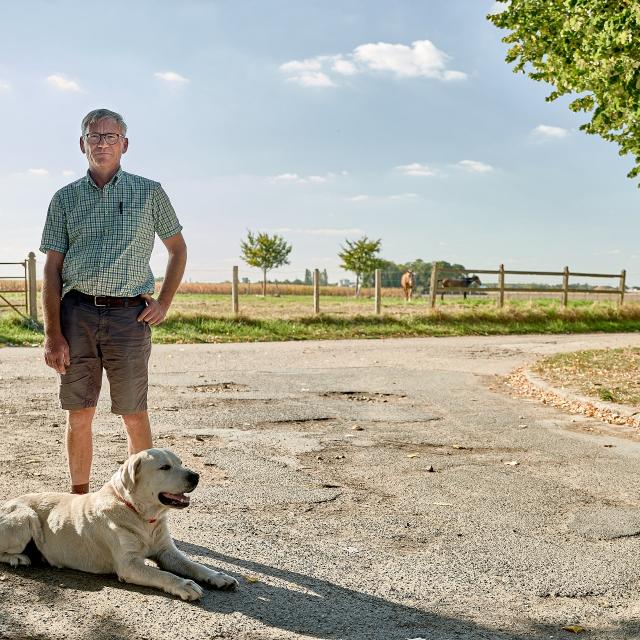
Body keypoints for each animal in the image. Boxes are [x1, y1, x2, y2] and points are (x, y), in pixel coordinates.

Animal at [0, 450, 238, 600]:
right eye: (164, 467)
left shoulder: (167, 552)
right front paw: (184, 585)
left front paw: (218, 576)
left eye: (180, 462)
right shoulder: (129, 565)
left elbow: (193, 565)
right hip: (25, 518)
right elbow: (164, 575)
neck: (142, 516)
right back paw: (18, 558)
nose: (196, 476)